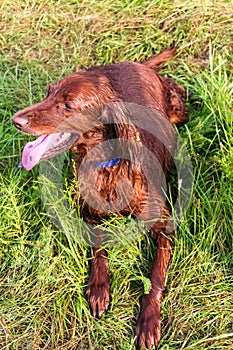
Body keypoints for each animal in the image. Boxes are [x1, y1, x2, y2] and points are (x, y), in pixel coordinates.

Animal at [12, 47, 187, 348]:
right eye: (48, 93)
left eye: (68, 105)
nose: (16, 120)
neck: (107, 166)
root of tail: (140, 65)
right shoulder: (87, 213)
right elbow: (98, 247)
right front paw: (98, 289)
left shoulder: (164, 227)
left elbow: (155, 277)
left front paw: (148, 322)